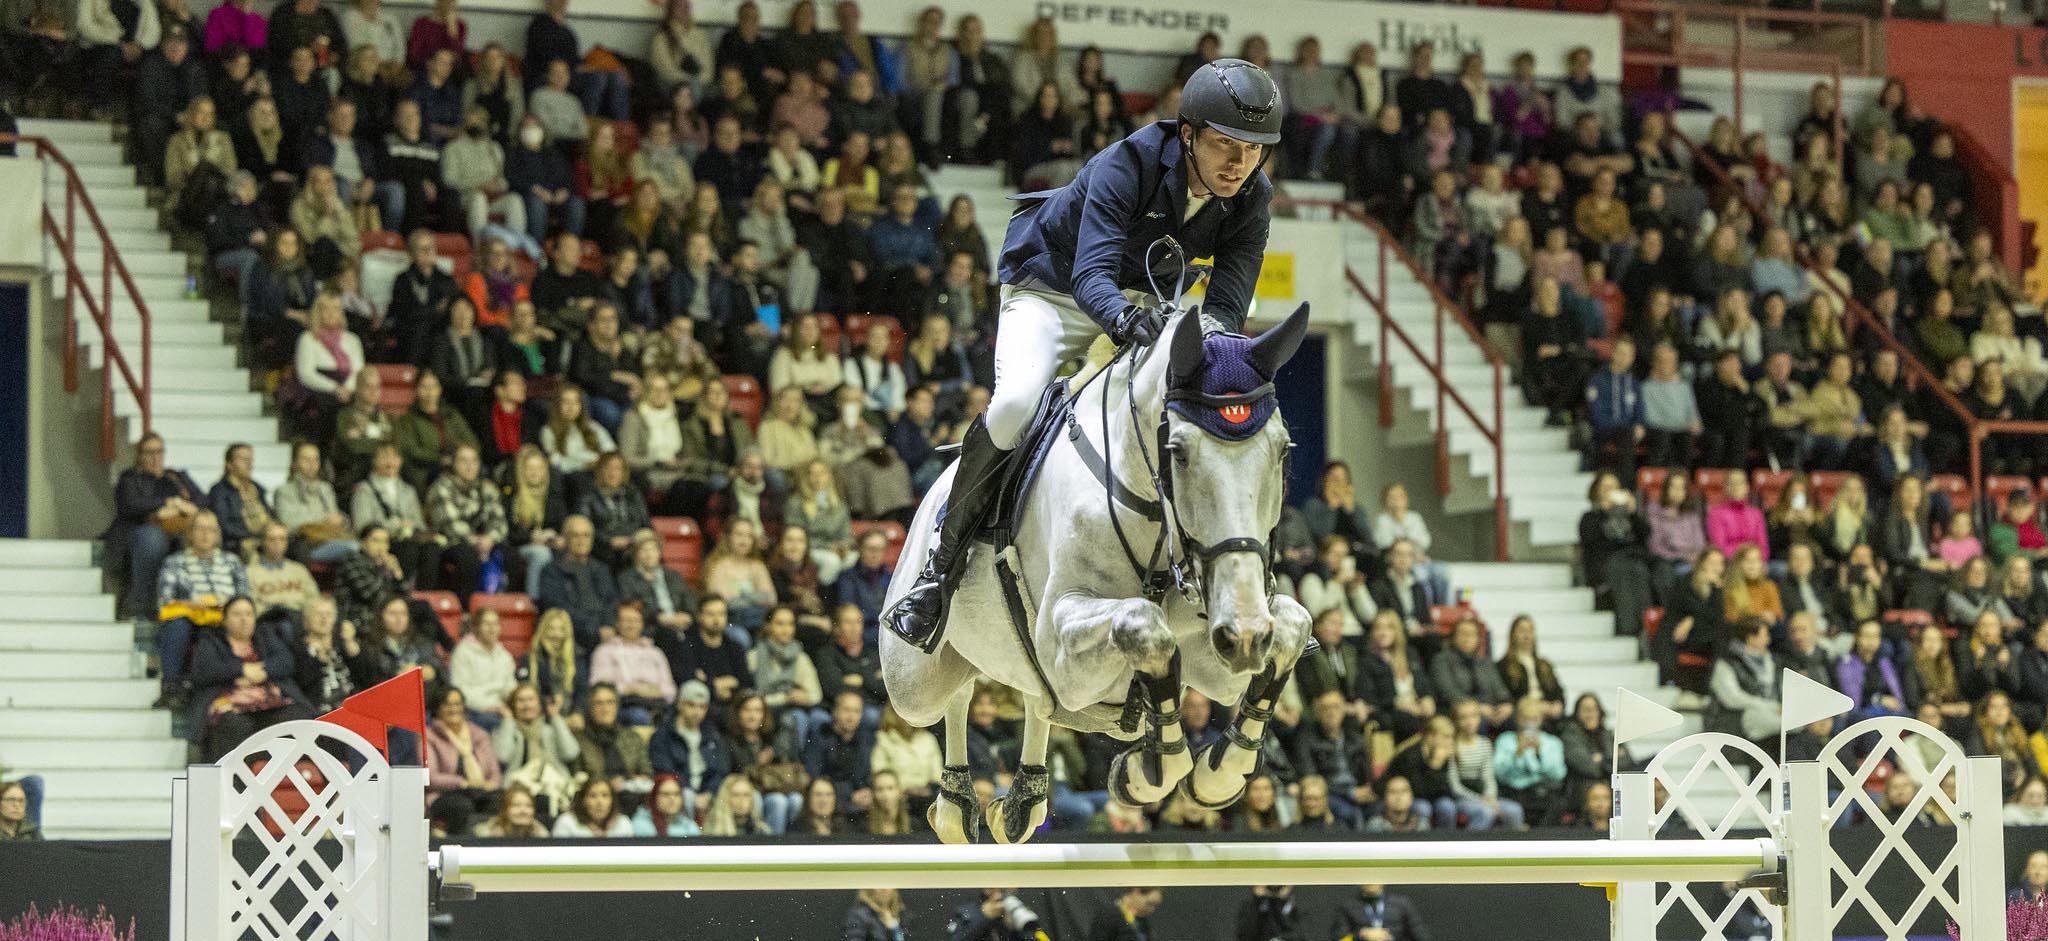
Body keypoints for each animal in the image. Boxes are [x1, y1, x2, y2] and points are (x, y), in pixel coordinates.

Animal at [880, 303, 1310, 848]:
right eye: (1178, 451)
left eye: (1283, 450)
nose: (1246, 634)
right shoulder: (1063, 641)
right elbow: (1141, 623)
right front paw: (1147, 773)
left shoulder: (1213, 655)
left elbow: (1292, 625)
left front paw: (1216, 775)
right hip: (912, 683)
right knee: (954, 691)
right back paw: (956, 804)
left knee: (1033, 699)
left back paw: (1020, 802)